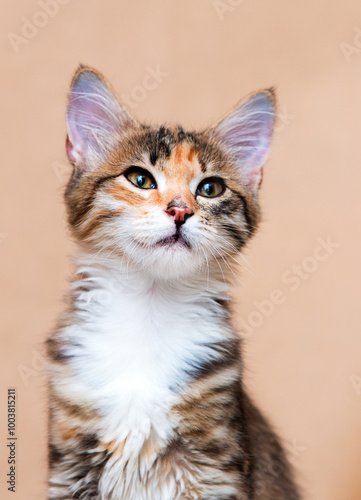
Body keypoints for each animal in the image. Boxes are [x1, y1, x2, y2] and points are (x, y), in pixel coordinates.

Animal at [47, 66, 300, 500]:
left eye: (210, 188)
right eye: (140, 179)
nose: (180, 211)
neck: (148, 313)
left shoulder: (215, 470)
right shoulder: (71, 467)